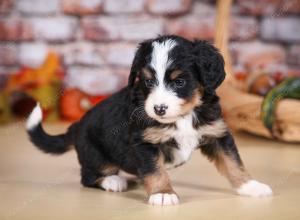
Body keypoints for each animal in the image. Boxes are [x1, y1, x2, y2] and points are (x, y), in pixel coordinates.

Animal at [27, 35, 274, 205]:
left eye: (179, 82)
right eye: (147, 81)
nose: (159, 109)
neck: (183, 116)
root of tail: (77, 126)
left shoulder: (217, 134)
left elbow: (233, 163)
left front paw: (252, 186)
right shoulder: (144, 142)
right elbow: (155, 170)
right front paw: (163, 194)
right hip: (95, 154)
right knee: (89, 176)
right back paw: (114, 181)